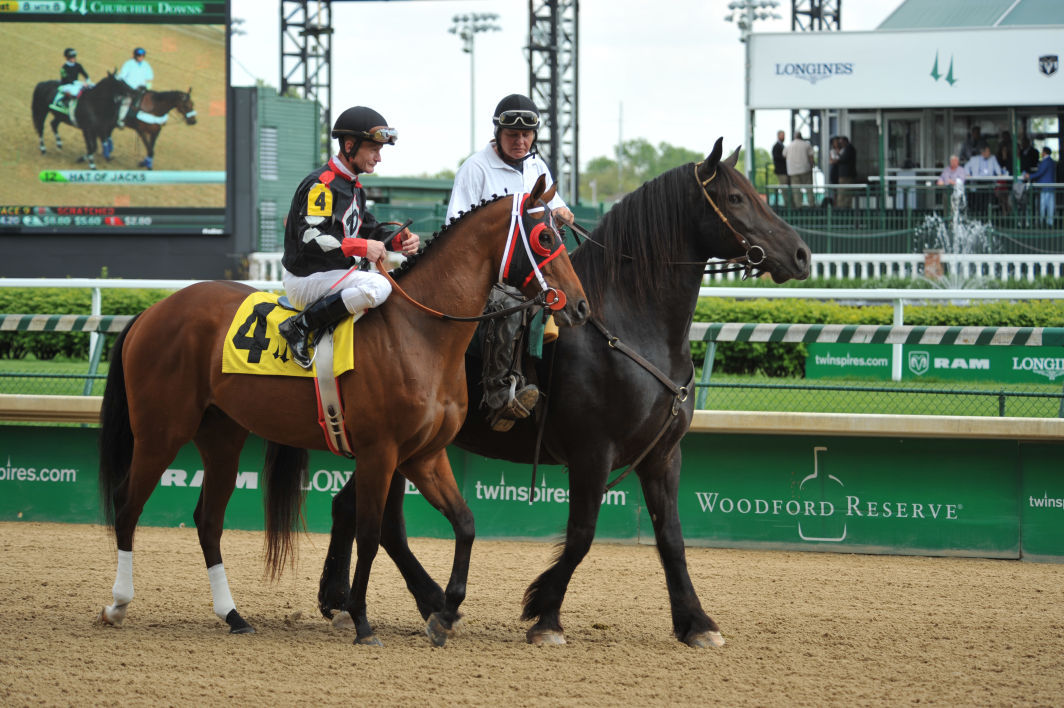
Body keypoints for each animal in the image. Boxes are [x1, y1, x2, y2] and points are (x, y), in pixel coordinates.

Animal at [97, 173, 591, 643]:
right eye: (545, 237)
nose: (581, 306)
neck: (420, 331)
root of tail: (151, 312)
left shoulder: (424, 456)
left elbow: (466, 523)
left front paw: (444, 613)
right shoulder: (381, 453)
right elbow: (370, 535)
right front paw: (361, 620)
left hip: (221, 436)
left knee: (208, 520)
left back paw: (233, 616)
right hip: (161, 431)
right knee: (127, 504)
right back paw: (118, 604)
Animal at [319, 136, 808, 647]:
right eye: (736, 198)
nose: (800, 254)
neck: (625, 324)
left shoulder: (663, 455)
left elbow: (671, 538)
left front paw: (696, 622)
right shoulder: (592, 452)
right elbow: (581, 535)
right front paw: (545, 613)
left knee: (358, 511)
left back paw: (357, 600)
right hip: (397, 445)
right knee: (381, 522)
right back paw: (414, 602)